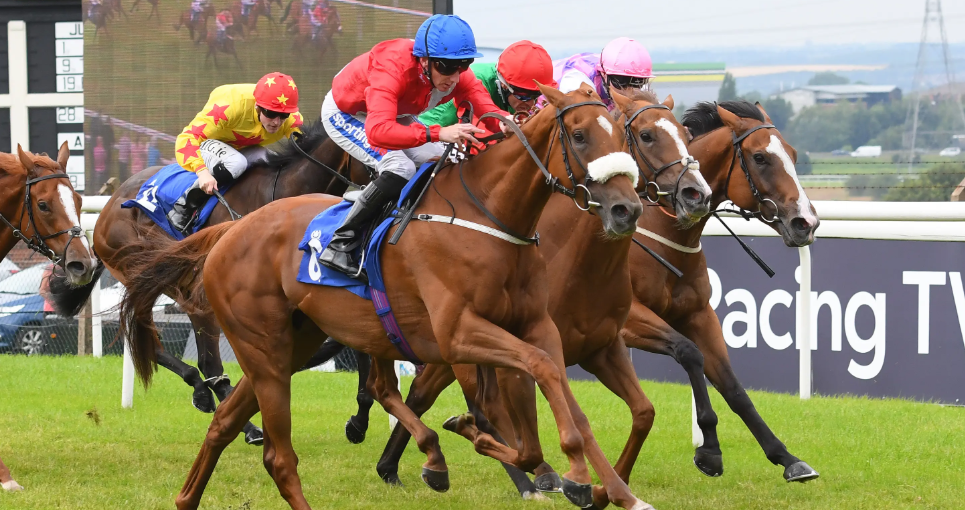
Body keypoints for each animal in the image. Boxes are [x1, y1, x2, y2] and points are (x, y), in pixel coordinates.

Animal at [118, 84, 655, 510]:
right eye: (580, 136)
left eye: (622, 134)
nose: (626, 209)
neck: (490, 219)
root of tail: (230, 229)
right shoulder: (458, 335)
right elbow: (533, 378)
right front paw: (570, 475)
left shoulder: (535, 325)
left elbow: (553, 401)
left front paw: (596, 484)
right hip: (264, 350)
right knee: (278, 455)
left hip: (289, 346)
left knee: (225, 425)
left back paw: (187, 497)